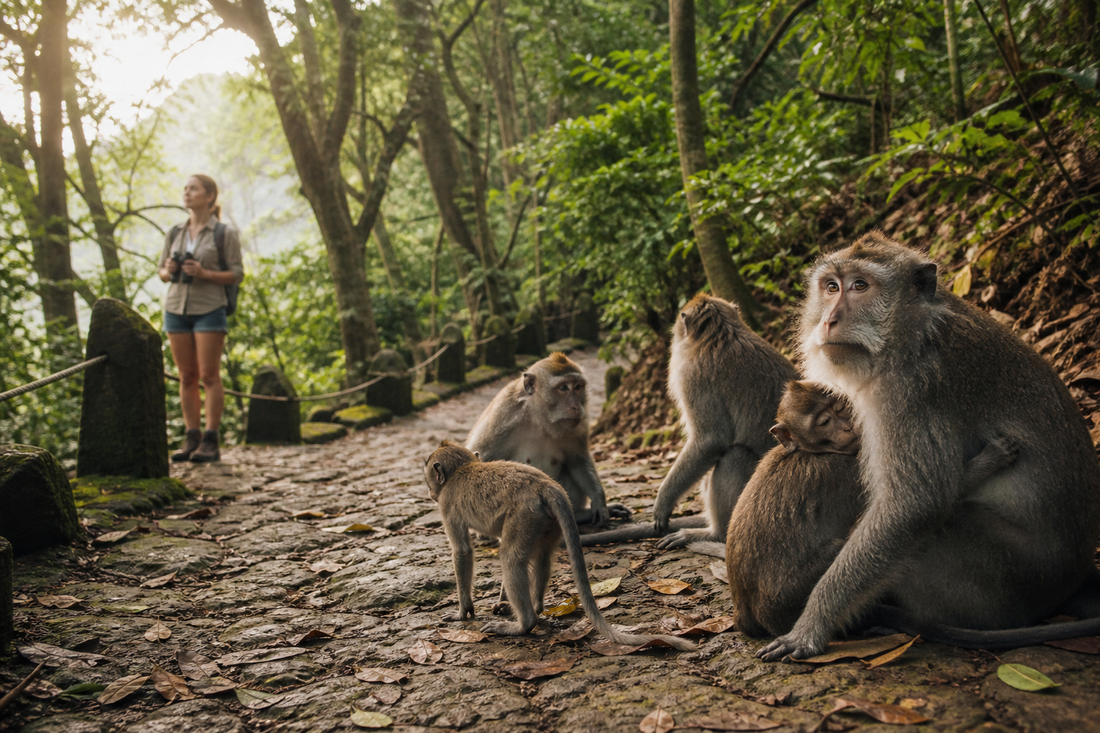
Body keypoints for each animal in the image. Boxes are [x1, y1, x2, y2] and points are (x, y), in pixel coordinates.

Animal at [424, 441, 695, 651]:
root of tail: (546, 485)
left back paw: (524, 624)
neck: (462, 468)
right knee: (541, 557)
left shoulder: (447, 505)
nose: (429, 492)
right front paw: (500, 602)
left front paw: (462, 612)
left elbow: (462, 551)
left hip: (524, 514)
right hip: (544, 520)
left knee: (511, 558)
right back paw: (535, 607)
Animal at [466, 352, 630, 528]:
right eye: (563, 388)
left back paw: (579, 515)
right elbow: (481, 457)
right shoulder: (502, 416)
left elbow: (577, 459)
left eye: (578, 387)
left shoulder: (578, 425)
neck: (540, 417)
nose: (576, 407)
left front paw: (600, 503)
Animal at [578, 294, 797, 551]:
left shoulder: (694, 377)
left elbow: (711, 440)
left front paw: (664, 501)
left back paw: (714, 534)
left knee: (735, 455)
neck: (721, 334)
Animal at [756, 233, 1100, 662]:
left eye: (860, 286)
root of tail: (1076, 575)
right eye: (831, 287)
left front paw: (810, 627)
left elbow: (913, 507)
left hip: (1014, 578)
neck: (914, 335)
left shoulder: (913, 391)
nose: (828, 319)